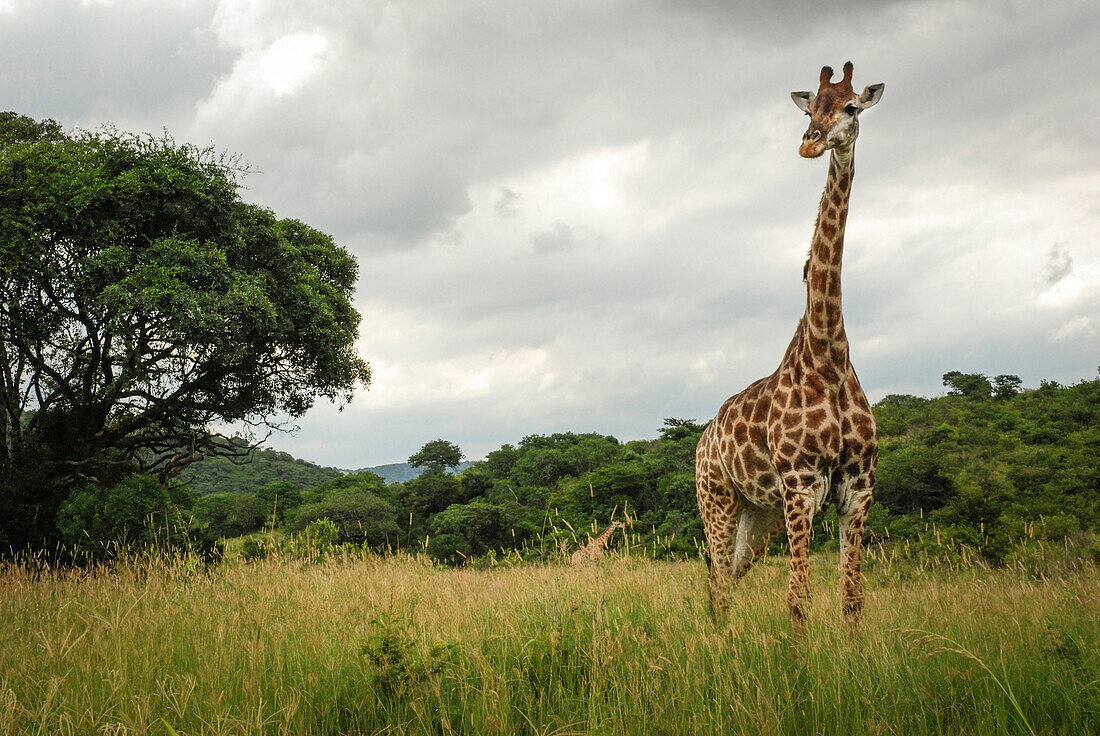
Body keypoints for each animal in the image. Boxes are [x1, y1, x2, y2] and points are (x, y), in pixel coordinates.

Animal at [695, 61, 884, 633]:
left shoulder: (858, 487)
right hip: (718, 500)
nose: (810, 143)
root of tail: (701, 441)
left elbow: (852, 596)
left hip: (759, 516)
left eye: (850, 106)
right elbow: (799, 596)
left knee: (727, 577)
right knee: (717, 581)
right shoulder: (801, 486)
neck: (829, 354)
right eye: (809, 110)